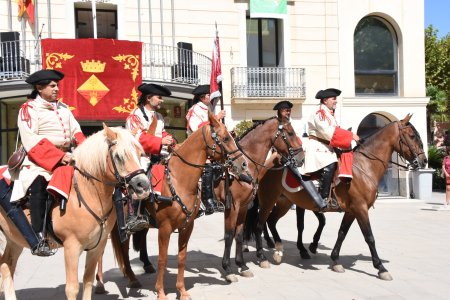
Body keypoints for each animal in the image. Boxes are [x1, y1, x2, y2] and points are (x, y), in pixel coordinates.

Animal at [0, 125, 151, 300]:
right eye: (119, 157)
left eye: (140, 154)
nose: (143, 186)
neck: (88, 193)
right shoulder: (71, 247)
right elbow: (72, 288)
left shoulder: (96, 246)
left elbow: (88, 281)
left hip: (15, 238)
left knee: (6, 265)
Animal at [214, 116, 302, 282]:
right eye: (290, 133)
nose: (302, 158)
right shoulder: (232, 207)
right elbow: (229, 235)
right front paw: (227, 269)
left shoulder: (243, 207)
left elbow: (239, 235)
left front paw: (242, 265)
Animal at [251, 113, 428, 280]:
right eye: (412, 136)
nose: (424, 161)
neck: (364, 166)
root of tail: (267, 163)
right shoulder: (361, 208)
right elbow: (369, 237)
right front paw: (380, 268)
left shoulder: (351, 211)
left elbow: (342, 233)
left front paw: (335, 260)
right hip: (268, 200)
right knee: (259, 224)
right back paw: (263, 256)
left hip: (284, 202)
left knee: (271, 221)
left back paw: (278, 250)